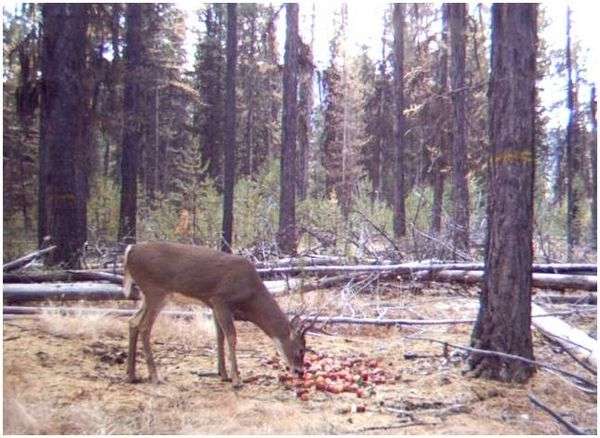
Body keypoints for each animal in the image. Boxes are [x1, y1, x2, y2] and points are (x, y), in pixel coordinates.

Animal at [123, 241, 316, 388]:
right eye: (301, 349)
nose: (299, 371)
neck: (251, 296)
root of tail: (130, 250)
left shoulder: (214, 305)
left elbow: (219, 336)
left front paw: (223, 374)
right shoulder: (221, 300)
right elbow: (231, 336)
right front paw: (237, 379)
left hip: (148, 295)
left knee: (133, 321)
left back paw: (132, 375)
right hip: (155, 290)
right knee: (144, 326)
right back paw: (155, 377)